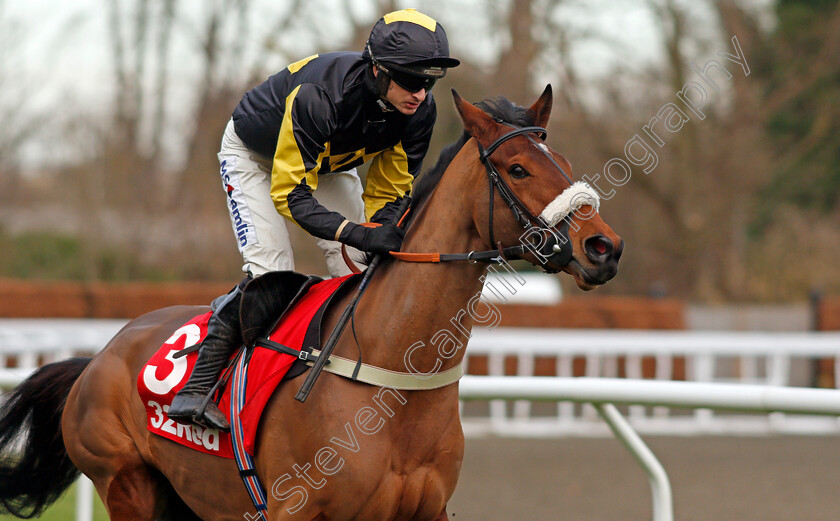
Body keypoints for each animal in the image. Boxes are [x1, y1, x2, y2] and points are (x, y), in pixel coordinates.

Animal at [1, 86, 624, 520]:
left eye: (566, 165)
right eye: (517, 168)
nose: (604, 247)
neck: (393, 378)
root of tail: (99, 357)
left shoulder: (428, 509)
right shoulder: (293, 507)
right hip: (127, 483)